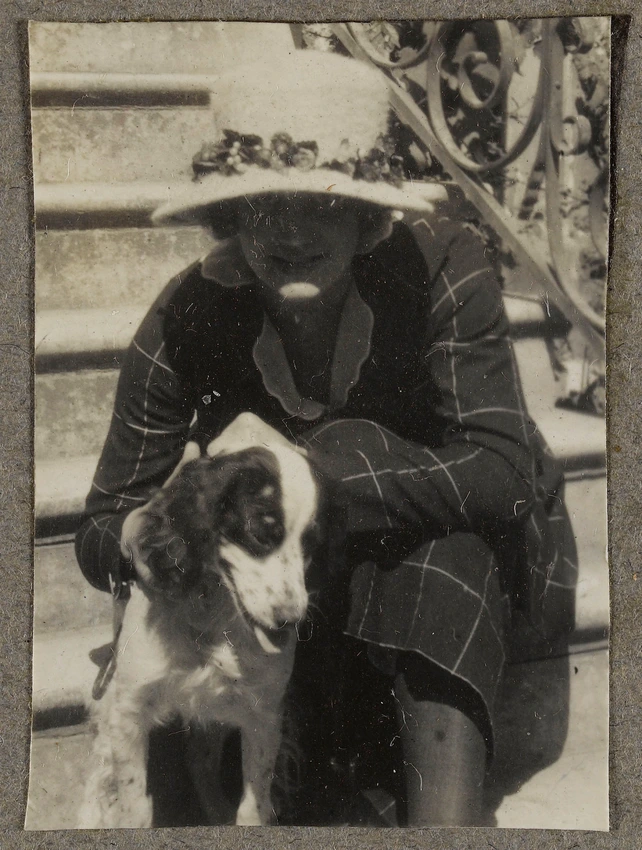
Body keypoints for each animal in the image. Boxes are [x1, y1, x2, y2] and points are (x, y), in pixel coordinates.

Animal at [78, 414, 322, 824]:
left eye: (310, 545)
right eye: (260, 533)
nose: (290, 621)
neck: (212, 618)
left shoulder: (264, 714)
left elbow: (253, 805)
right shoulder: (129, 710)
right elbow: (135, 807)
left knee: (200, 764)